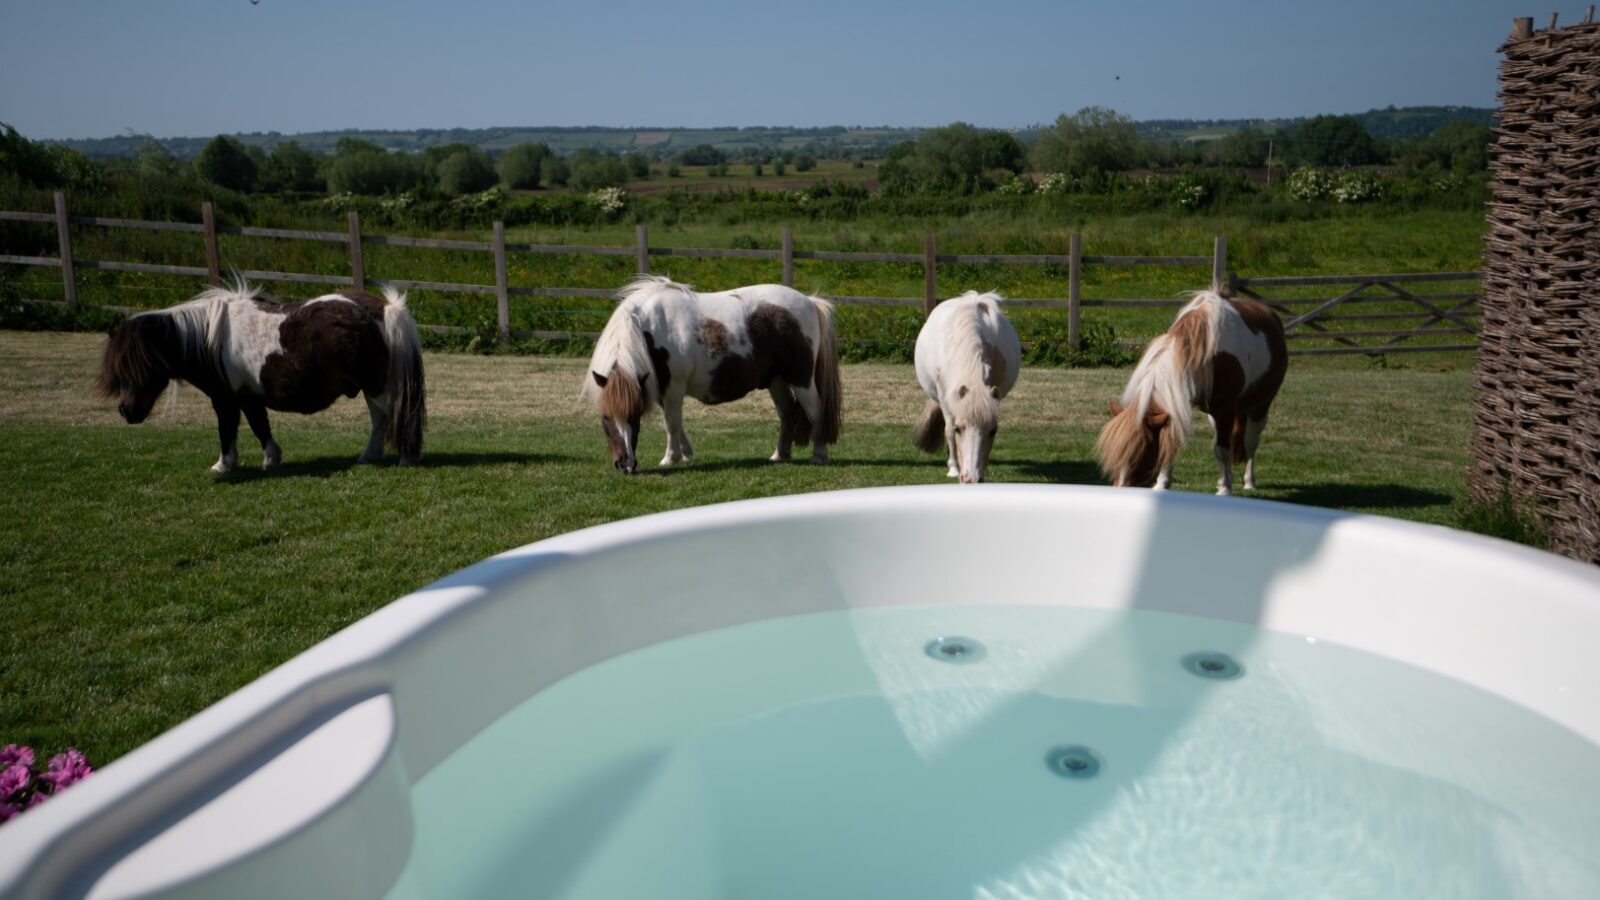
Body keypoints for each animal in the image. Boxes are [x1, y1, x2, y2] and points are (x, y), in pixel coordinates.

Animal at [96, 281, 425, 470]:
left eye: (140, 366)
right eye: (119, 370)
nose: (126, 411)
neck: (210, 339)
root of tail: (383, 308)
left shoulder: (228, 398)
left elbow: (232, 429)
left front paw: (227, 465)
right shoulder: (245, 397)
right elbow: (255, 426)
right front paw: (267, 458)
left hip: (376, 387)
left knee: (389, 416)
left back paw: (400, 457)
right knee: (380, 420)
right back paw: (371, 456)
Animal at [582, 275, 844, 474]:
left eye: (635, 415)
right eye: (605, 417)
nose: (625, 466)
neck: (648, 327)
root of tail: (810, 302)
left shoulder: (674, 386)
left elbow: (672, 423)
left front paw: (670, 458)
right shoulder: (660, 387)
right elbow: (674, 422)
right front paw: (686, 454)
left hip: (802, 380)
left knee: (815, 411)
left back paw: (819, 454)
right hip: (777, 381)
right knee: (787, 412)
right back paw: (780, 454)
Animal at [915, 291, 1024, 480]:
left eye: (993, 431)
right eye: (959, 429)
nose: (972, 478)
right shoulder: (945, 399)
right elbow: (949, 431)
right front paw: (953, 468)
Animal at [1094, 288, 1292, 493]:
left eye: (1142, 452)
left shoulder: (1225, 410)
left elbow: (1223, 450)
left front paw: (1224, 490)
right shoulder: (1177, 404)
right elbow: (1172, 442)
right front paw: (1162, 484)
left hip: (1260, 406)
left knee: (1250, 442)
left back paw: (1249, 481)